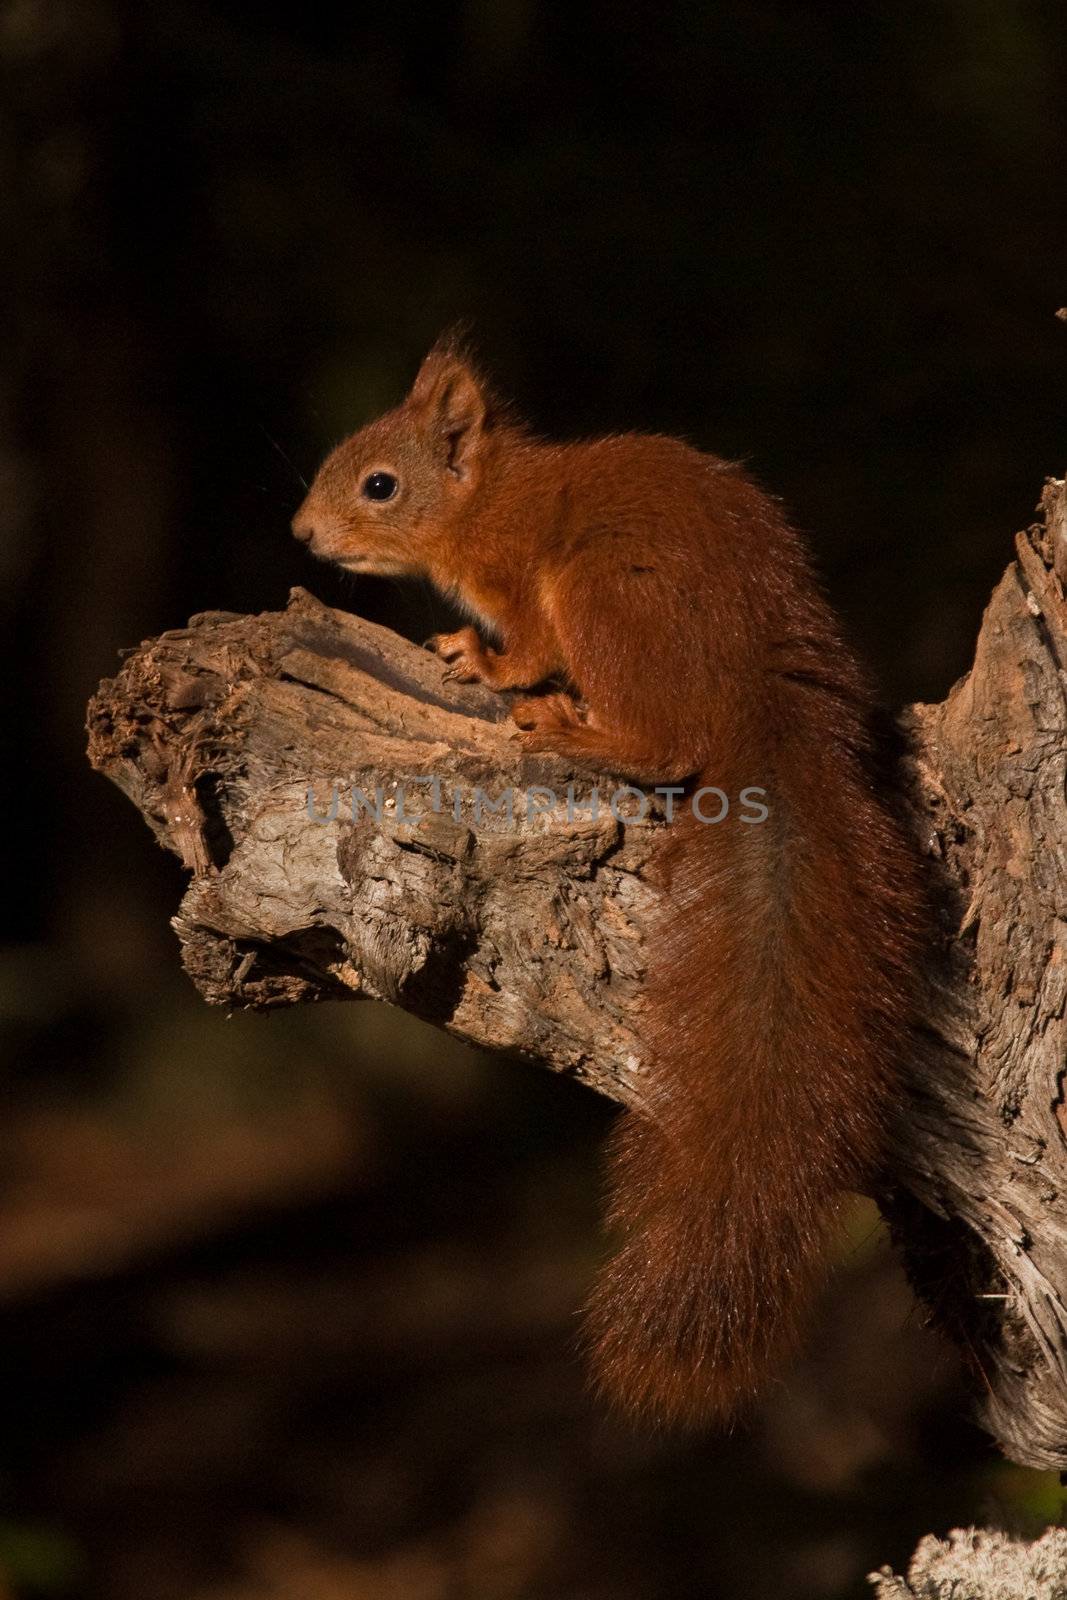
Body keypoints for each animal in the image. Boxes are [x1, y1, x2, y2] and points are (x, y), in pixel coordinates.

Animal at [289, 337, 927, 1427]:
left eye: (378, 484)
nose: (301, 532)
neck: (488, 498)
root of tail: (750, 688)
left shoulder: (518, 581)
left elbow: (523, 649)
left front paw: (479, 659)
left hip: (606, 595)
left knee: (662, 742)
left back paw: (567, 723)